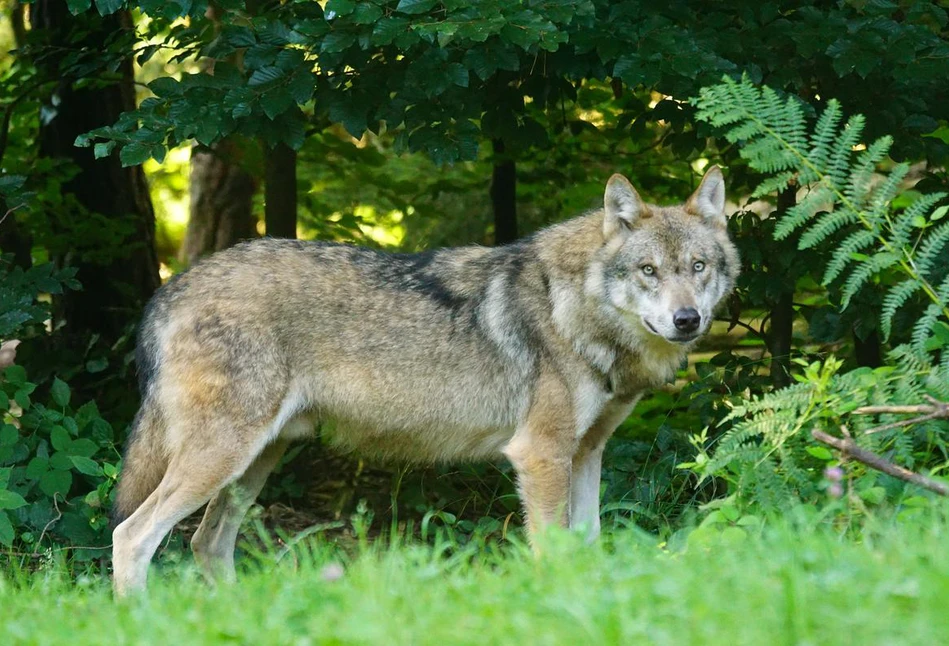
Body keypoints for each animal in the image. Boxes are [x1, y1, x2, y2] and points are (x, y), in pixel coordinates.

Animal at [113, 168, 740, 596]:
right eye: (649, 271)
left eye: (698, 268)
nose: (687, 320)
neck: (575, 308)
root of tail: (171, 288)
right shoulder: (540, 455)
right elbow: (554, 553)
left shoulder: (586, 454)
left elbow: (588, 547)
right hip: (222, 458)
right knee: (132, 536)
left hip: (254, 463)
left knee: (206, 543)